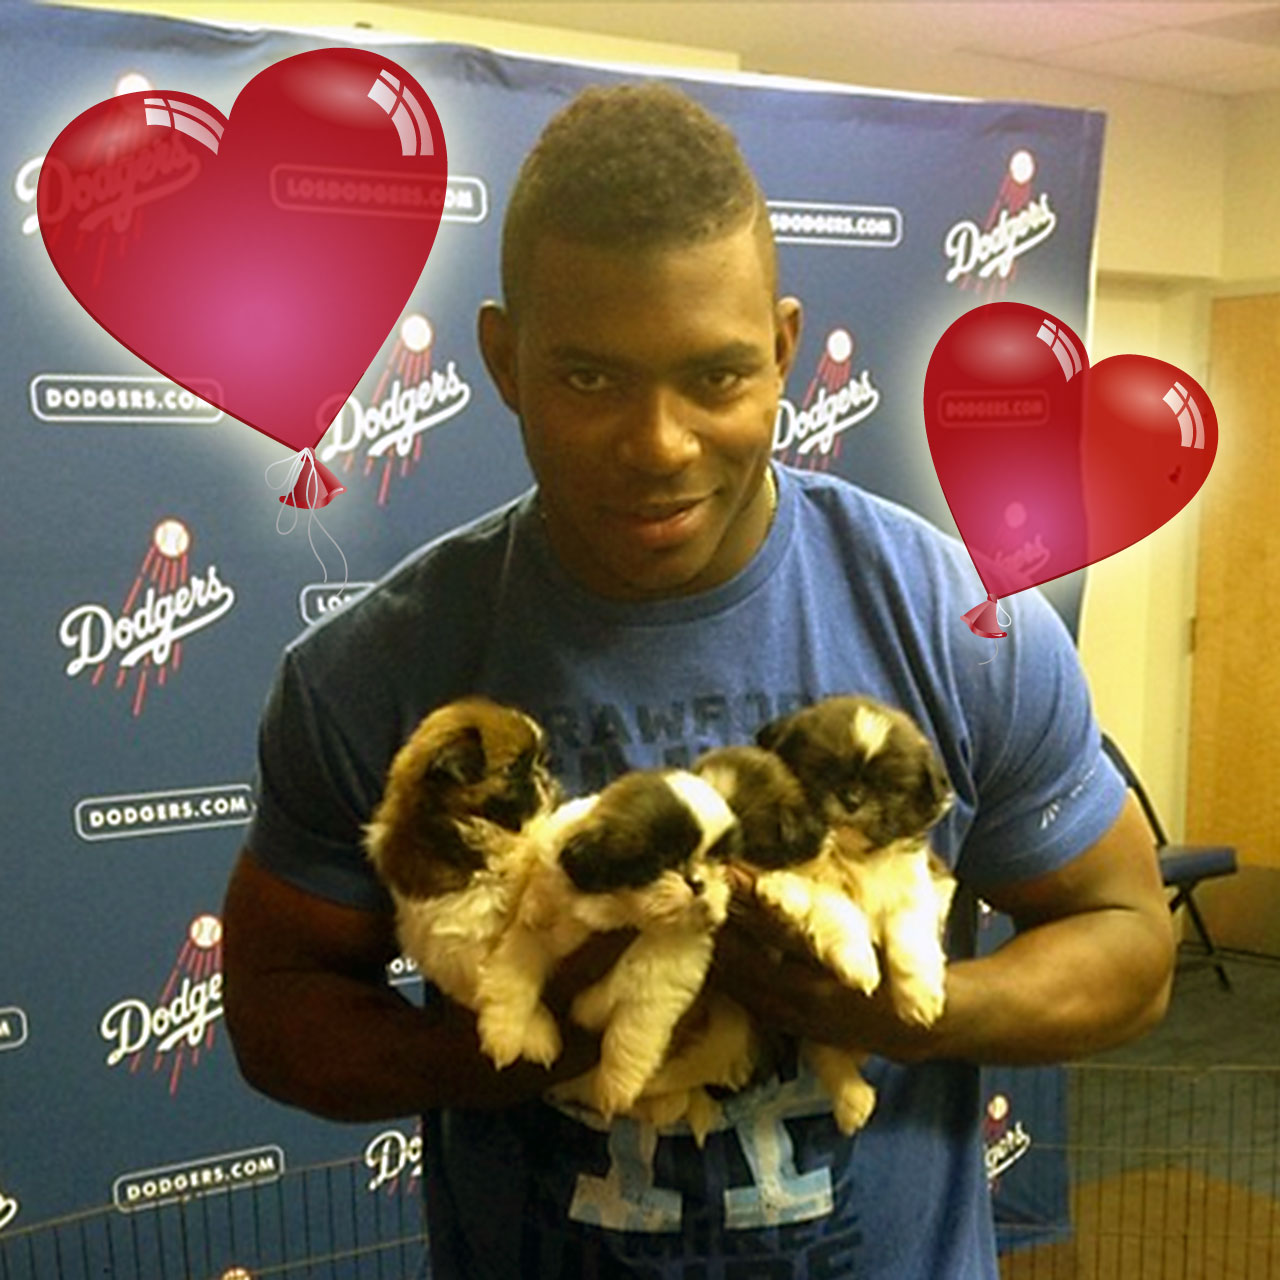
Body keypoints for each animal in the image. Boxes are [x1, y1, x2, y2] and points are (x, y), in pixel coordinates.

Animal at [478, 768, 742, 1121]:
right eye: (662, 859)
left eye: (718, 859)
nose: (698, 881)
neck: (620, 911)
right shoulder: (537, 931)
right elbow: (513, 974)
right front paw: (503, 1032)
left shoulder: (664, 976)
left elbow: (634, 1027)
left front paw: (617, 1084)